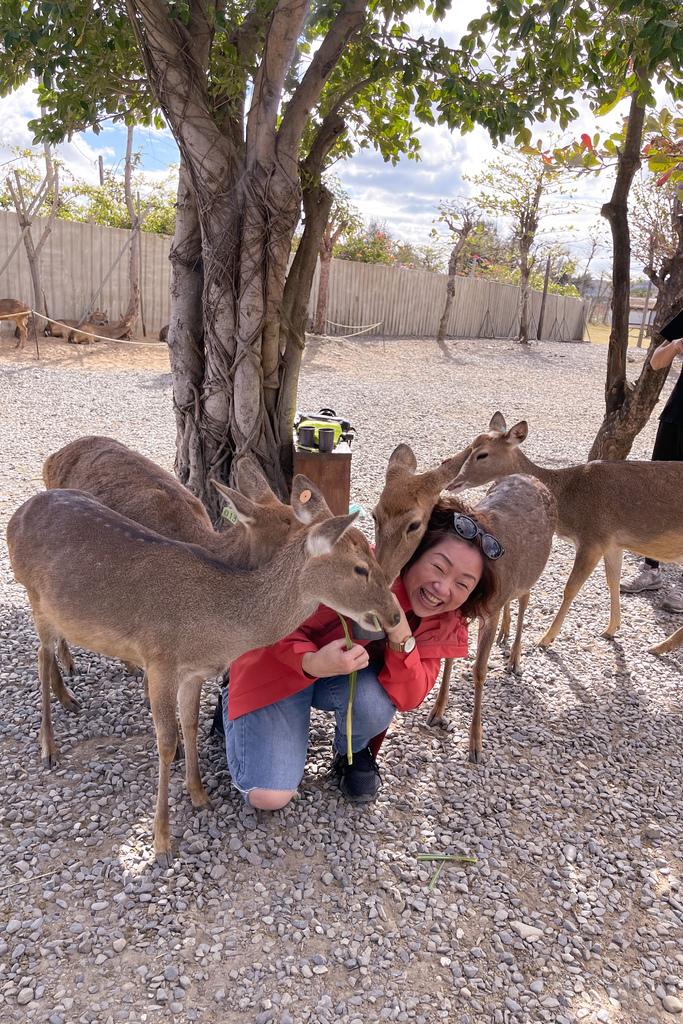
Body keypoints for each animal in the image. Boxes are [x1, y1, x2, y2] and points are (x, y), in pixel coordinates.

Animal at [370, 444, 557, 765]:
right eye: (374, 515)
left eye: (414, 524)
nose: (382, 575)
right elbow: (449, 655)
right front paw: (436, 712)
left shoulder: (489, 610)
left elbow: (479, 670)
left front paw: (476, 745)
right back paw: (505, 637)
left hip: (534, 572)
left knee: (524, 599)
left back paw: (515, 659)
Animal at [450, 411, 683, 651]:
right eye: (471, 446)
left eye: (483, 454)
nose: (453, 483)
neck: (569, 501)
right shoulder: (612, 543)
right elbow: (613, 580)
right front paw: (610, 629)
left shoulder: (593, 538)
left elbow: (571, 588)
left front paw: (545, 639)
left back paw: (660, 646)